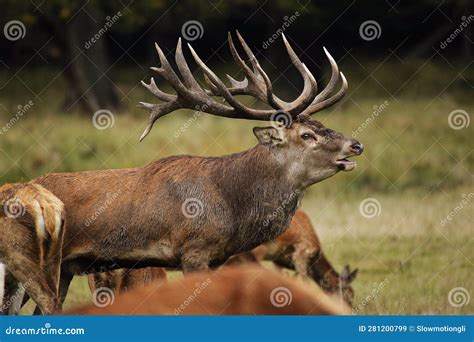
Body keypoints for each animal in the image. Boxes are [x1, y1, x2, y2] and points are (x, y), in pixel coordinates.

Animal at [34, 32, 362, 308]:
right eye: (307, 135)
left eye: (322, 125)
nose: (356, 145)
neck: (231, 205)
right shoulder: (194, 249)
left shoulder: (219, 257)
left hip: (66, 269)